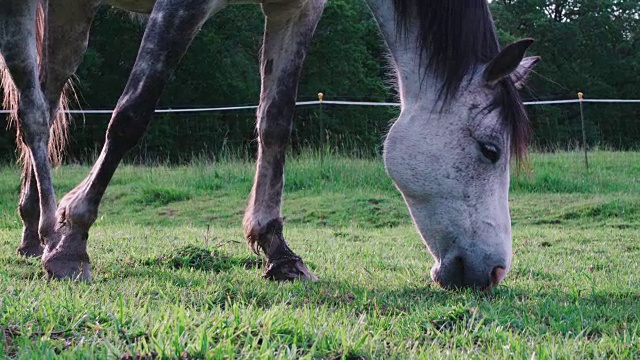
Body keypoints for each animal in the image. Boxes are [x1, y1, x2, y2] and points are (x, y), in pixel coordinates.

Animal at [0, 0, 536, 288]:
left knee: (47, 98)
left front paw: (278, 250)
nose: (493, 272)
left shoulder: (296, 10)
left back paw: (32, 231)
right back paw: (49, 228)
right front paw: (73, 241)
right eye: (490, 150)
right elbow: (132, 114)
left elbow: (276, 122)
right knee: (32, 110)